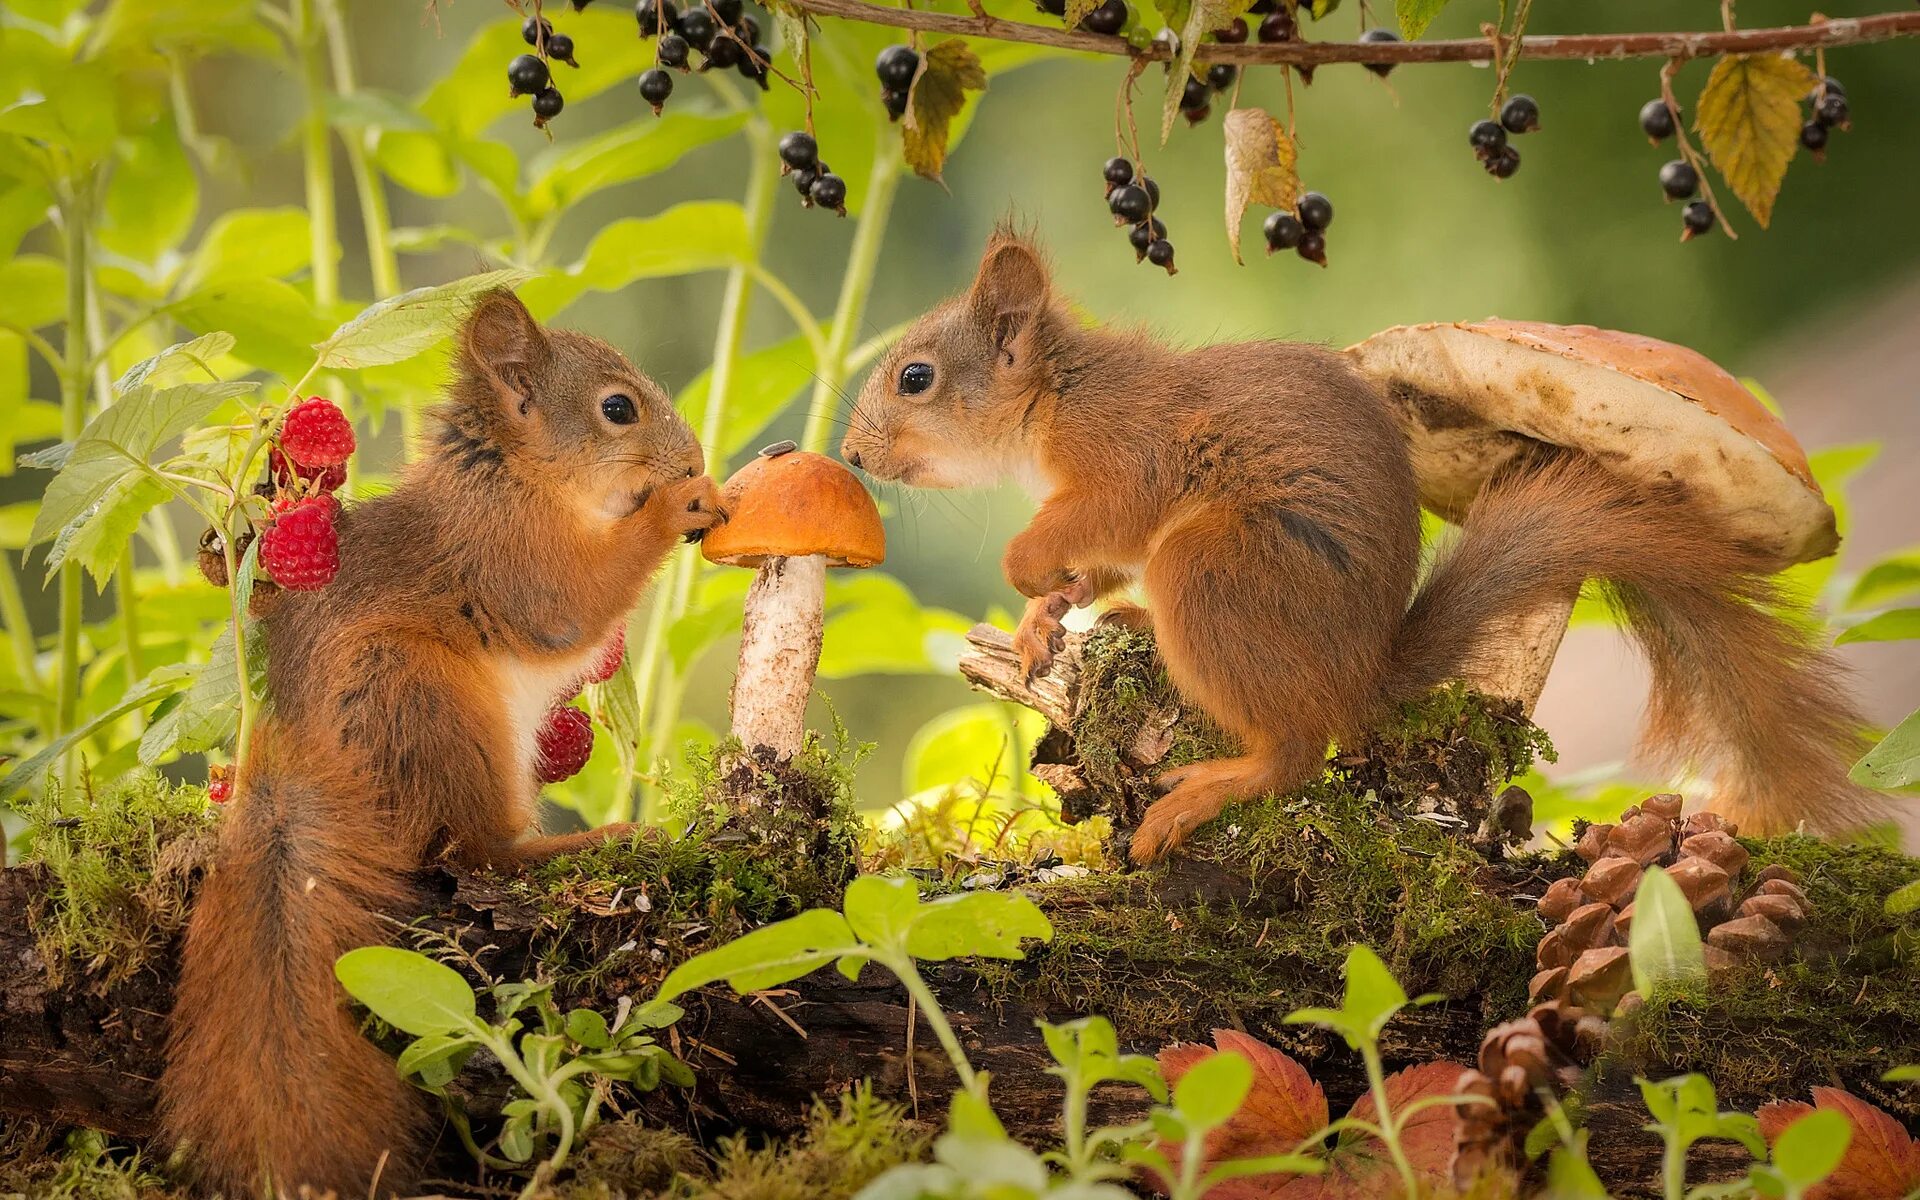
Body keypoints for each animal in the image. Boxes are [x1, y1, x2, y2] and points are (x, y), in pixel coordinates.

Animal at [157, 291, 721, 1198]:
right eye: (618, 409)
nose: (693, 457)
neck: (515, 477)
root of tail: (305, 766)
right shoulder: (508, 553)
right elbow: (573, 601)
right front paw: (680, 507)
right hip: (425, 703)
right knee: (478, 850)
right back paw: (595, 840)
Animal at [848, 224, 1881, 860]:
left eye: (915, 378)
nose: (852, 456)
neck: (1053, 399)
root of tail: (1363, 675)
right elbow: (1089, 567)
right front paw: (1041, 621)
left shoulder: (1126, 460)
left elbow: (1093, 524)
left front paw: (1026, 570)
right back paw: (1133, 625)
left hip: (1214, 572)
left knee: (1297, 751)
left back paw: (1206, 788)